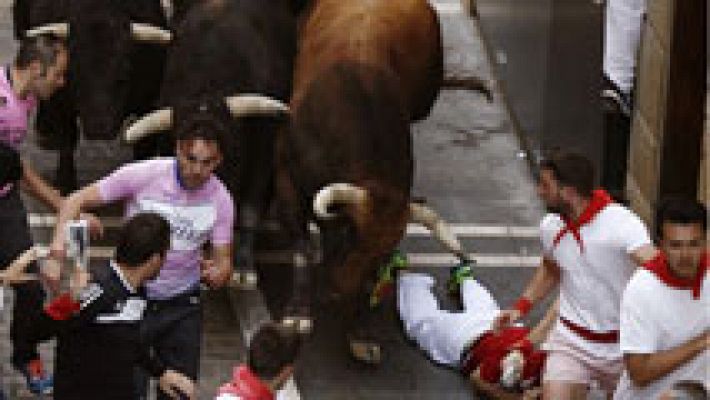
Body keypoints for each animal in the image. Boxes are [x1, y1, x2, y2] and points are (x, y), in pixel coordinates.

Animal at [276, 0, 464, 364]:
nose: (341, 290)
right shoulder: (287, 181)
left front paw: (358, 333)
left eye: (387, 252)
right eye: (352, 232)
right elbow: (302, 249)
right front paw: (297, 313)